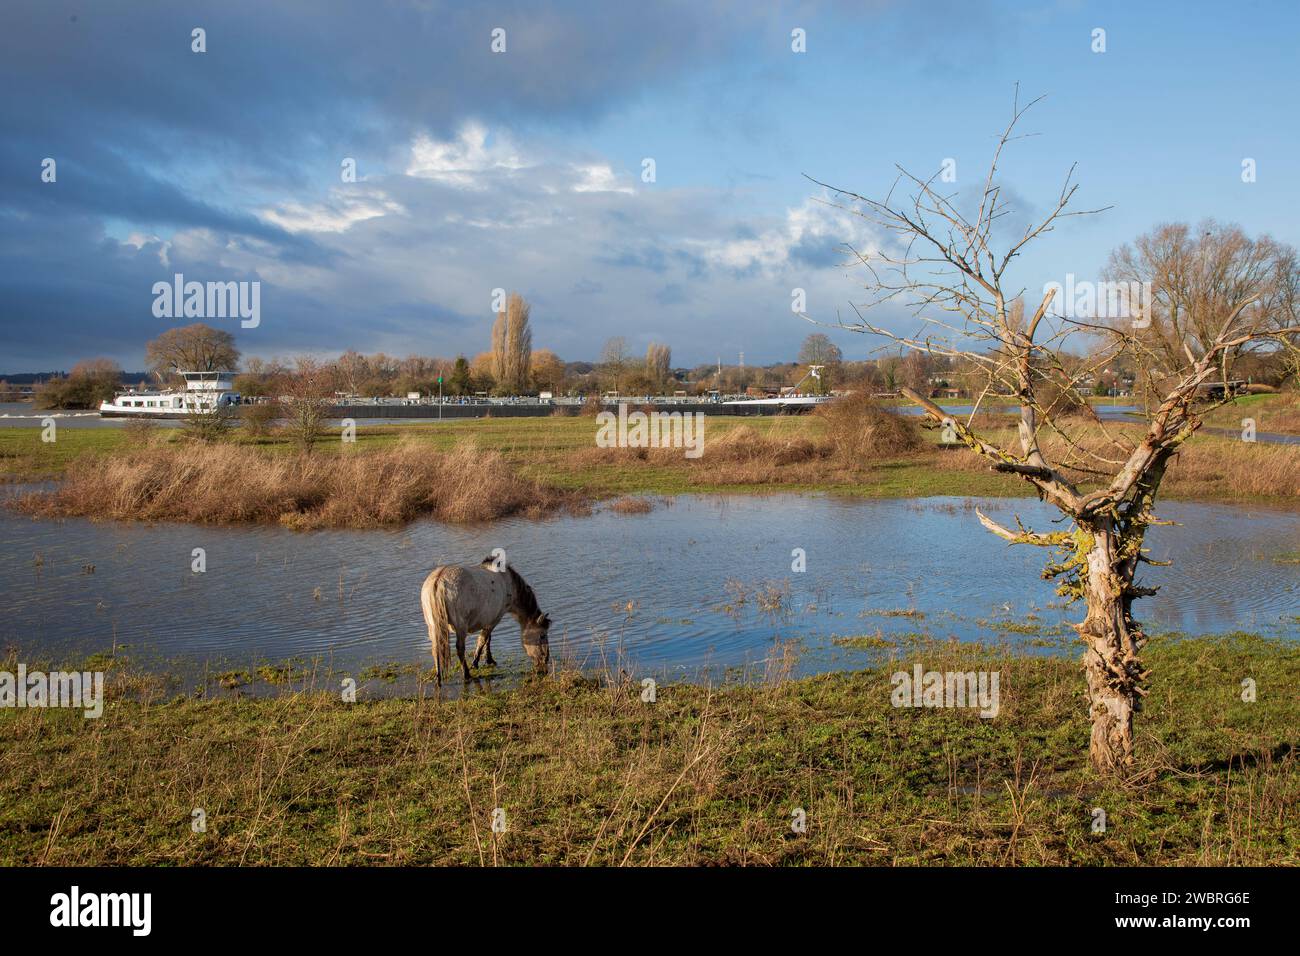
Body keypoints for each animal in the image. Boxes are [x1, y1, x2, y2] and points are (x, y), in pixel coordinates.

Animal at [419, 557, 551, 684]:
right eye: (542, 635)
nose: (545, 661)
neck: (508, 582)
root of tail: (439, 580)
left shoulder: (489, 619)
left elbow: (487, 639)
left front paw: (488, 660)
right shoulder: (495, 619)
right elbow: (483, 639)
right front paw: (477, 662)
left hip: (433, 626)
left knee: (435, 648)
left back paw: (438, 677)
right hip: (461, 627)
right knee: (460, 648)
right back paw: (466, 674)